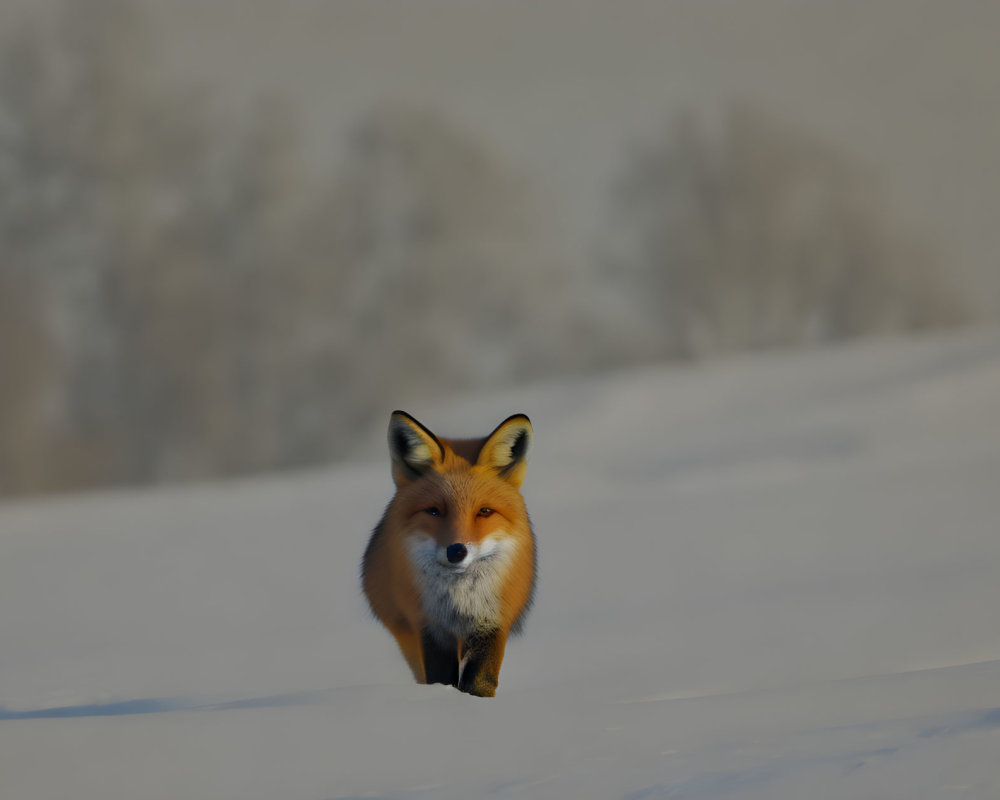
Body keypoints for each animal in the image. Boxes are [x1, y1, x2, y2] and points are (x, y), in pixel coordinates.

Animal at [362, 410, 536, 696]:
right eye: (434, 511)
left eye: (484, 512)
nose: (456, 551)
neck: (459, 601)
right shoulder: (429, 627)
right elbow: (440, 678)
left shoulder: (492, 622)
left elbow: (479, 681)